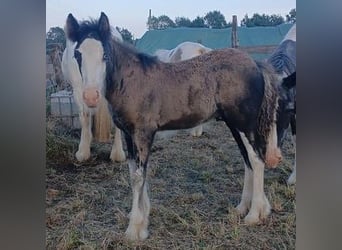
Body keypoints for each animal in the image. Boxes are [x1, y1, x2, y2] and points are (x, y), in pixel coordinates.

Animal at [61, 19, 125, 162]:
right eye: (77, 55)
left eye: (105, 54)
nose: (92, 96)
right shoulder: (79, 92)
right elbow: (85, 117)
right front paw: (83, 152)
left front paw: (118, 153)